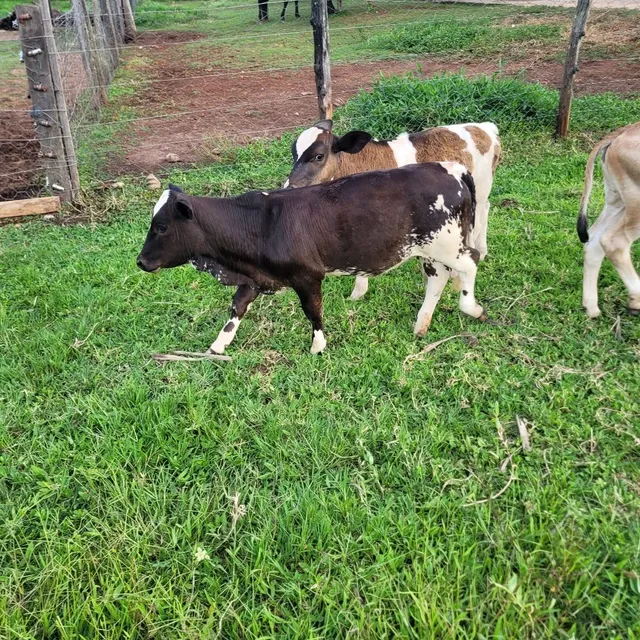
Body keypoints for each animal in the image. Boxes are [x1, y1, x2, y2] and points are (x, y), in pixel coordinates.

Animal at [136, 163, 486, 355]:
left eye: (161, 226)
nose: (140, 262)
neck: (260, 223)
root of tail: (449, 168)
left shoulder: (307, 276)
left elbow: (312, 310)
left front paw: (317, 346)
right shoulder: (255, 276)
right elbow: (236, 308)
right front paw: (218, 346)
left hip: (446, 243)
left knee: (470, 262)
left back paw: (470, 307)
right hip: (429, 249)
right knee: (438, 278)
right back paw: (421, 324)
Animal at [284, 119, 500, 301]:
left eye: (318, 156)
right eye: (294, 154)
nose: (289, 186)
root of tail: (484, 127)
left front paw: (357, 293)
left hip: (481, 188)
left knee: (481, 216)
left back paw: (479, 252)